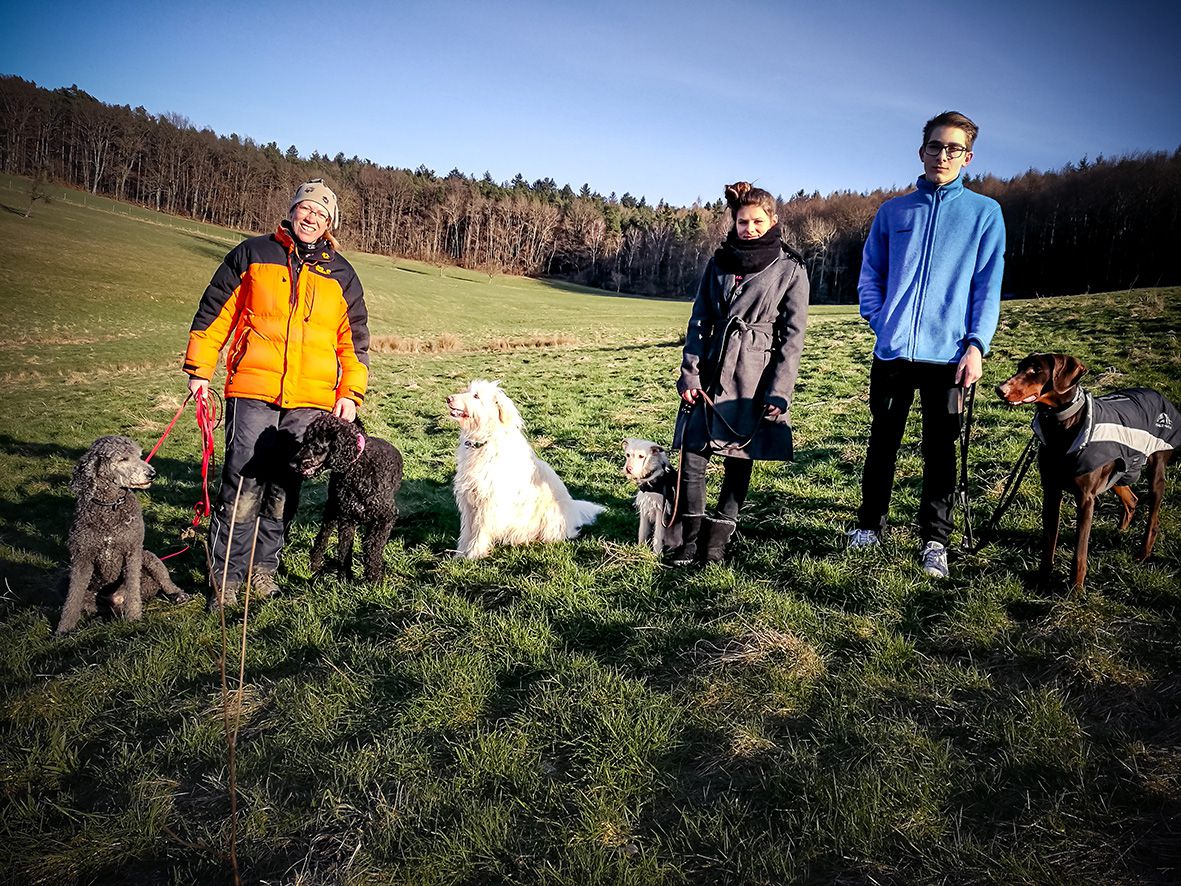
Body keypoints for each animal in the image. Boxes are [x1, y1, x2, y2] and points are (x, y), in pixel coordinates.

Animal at [56, 436, 191, 634]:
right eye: (123, 459)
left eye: (139, 455)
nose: (152, 474)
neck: (110, 506)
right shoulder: (82, 557)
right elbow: (73, 598)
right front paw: (64, 629)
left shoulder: (132, 552)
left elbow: (132, 589)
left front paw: (134, 618)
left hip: (150, 558)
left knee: (165, 581)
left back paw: (179, 595)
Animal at [297, 414, 403, 583]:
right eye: (305, 440)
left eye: (316, 444)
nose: (296, 460)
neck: (356, 469)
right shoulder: (347, 518)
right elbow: (345, 547)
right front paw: (345, 578)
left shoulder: (386, 517)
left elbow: (372, 546)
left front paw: (374, 579)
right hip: (332, 509)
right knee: (323, 537)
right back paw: (314, 564)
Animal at [446, 379, 604, 559]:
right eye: (468, 391)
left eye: (476, 396)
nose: (448, 398)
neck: (483, 441)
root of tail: (574, 510)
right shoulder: (468, 501)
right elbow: (467, 531)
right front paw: (460, 553)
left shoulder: (489, 502)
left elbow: (480, 530)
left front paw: (474, 553)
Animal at [997, 352, 1180, 592]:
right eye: (1019, 367)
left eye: (1036, 370)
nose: (1000, 389)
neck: (1060, 426)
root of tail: (1158, 394)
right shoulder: (1051, 491)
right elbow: (1049, 540)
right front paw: (1043, 580)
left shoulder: (1085, 498)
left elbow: (1080, 550)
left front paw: (1075, 589)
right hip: (1120, 472)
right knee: (1131, 499)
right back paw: (1119, 532)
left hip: (1155, 470)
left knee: (1153, 518)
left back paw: (1144, 553)